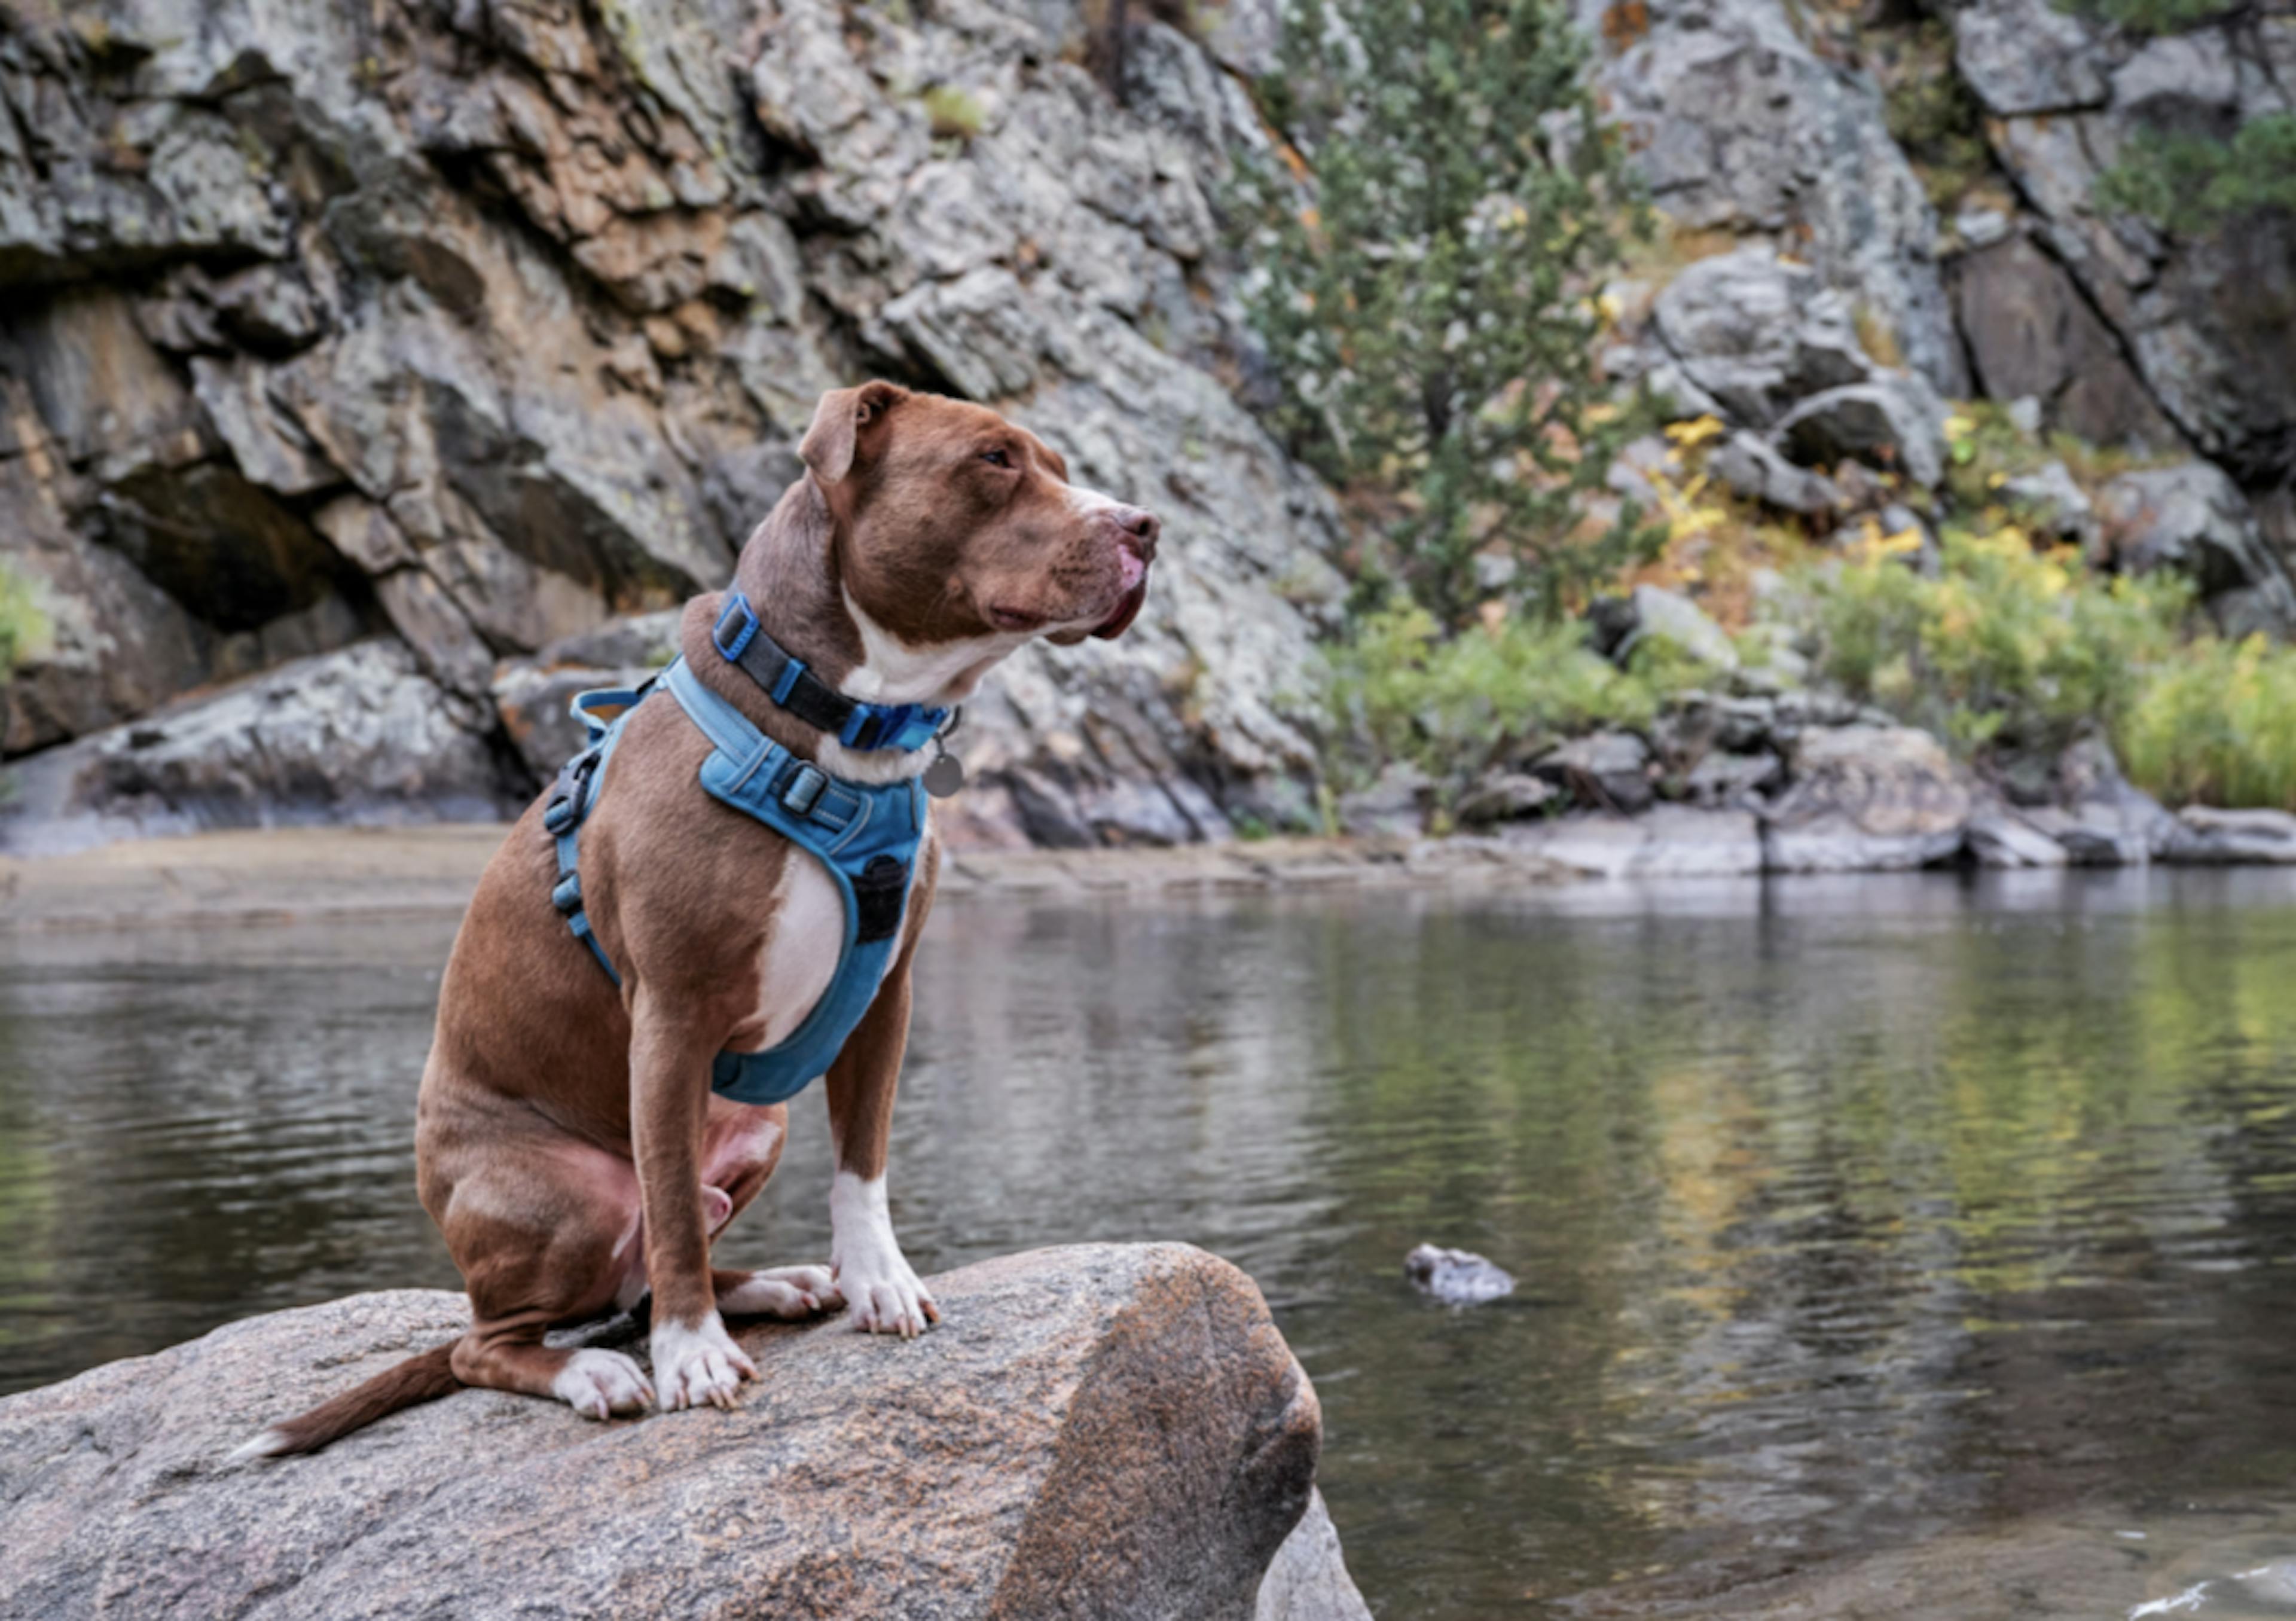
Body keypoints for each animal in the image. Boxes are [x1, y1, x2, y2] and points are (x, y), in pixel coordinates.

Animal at [240, 381, 1157, 1451]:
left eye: (1056, 463)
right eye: (995, 460)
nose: (1146, 525)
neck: (845, 725)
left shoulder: (886, 995)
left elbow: (864, 1162)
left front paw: (877, 1279)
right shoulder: (671, 1017)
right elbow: (674, 1202)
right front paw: (693, 1355)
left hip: (757, 1122)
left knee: (632, 1281)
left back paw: (773, 1284)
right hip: (565, 1198)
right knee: (495, 1338)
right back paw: (595, 1367)